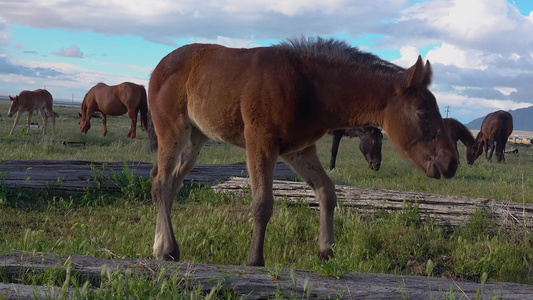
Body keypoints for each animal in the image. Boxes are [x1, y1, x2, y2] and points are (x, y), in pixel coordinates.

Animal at [147, 38, 458, 268]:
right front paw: (255, 260)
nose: (451, 163)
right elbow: (262, 203)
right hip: (172, 130)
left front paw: (326, 250)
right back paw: (169, 248)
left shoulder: (299, 149)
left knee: (170, 182)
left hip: (196, 137)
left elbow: (327, 191)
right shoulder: (260, 141)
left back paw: (160, 246)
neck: (308, 85)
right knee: (161, 181)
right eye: (422, 113)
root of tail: (158, 67)